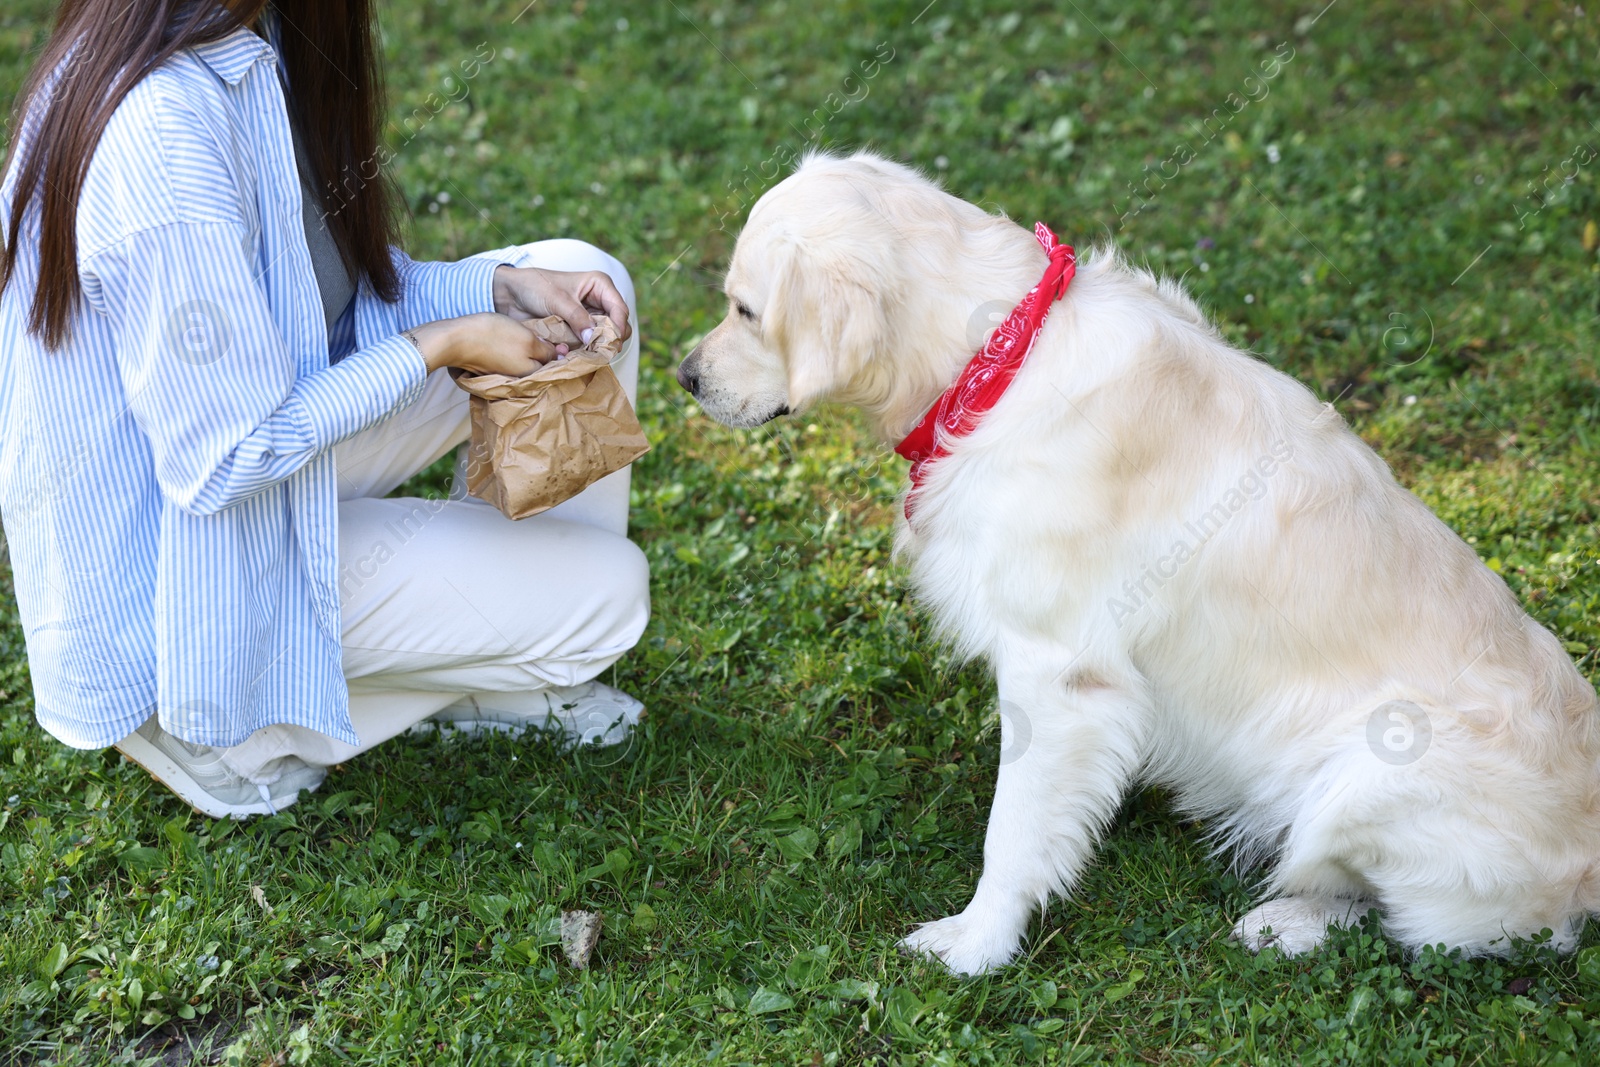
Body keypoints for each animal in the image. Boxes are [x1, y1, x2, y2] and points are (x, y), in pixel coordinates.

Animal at [675, 150, 1600, 979]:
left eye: (745, 310)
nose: (684, 376)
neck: (998, 357)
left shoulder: (1060, 671)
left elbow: (1013, 830)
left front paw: (977, 943)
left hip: (1376, 767)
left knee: (1445, 928)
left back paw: (1289, 922)